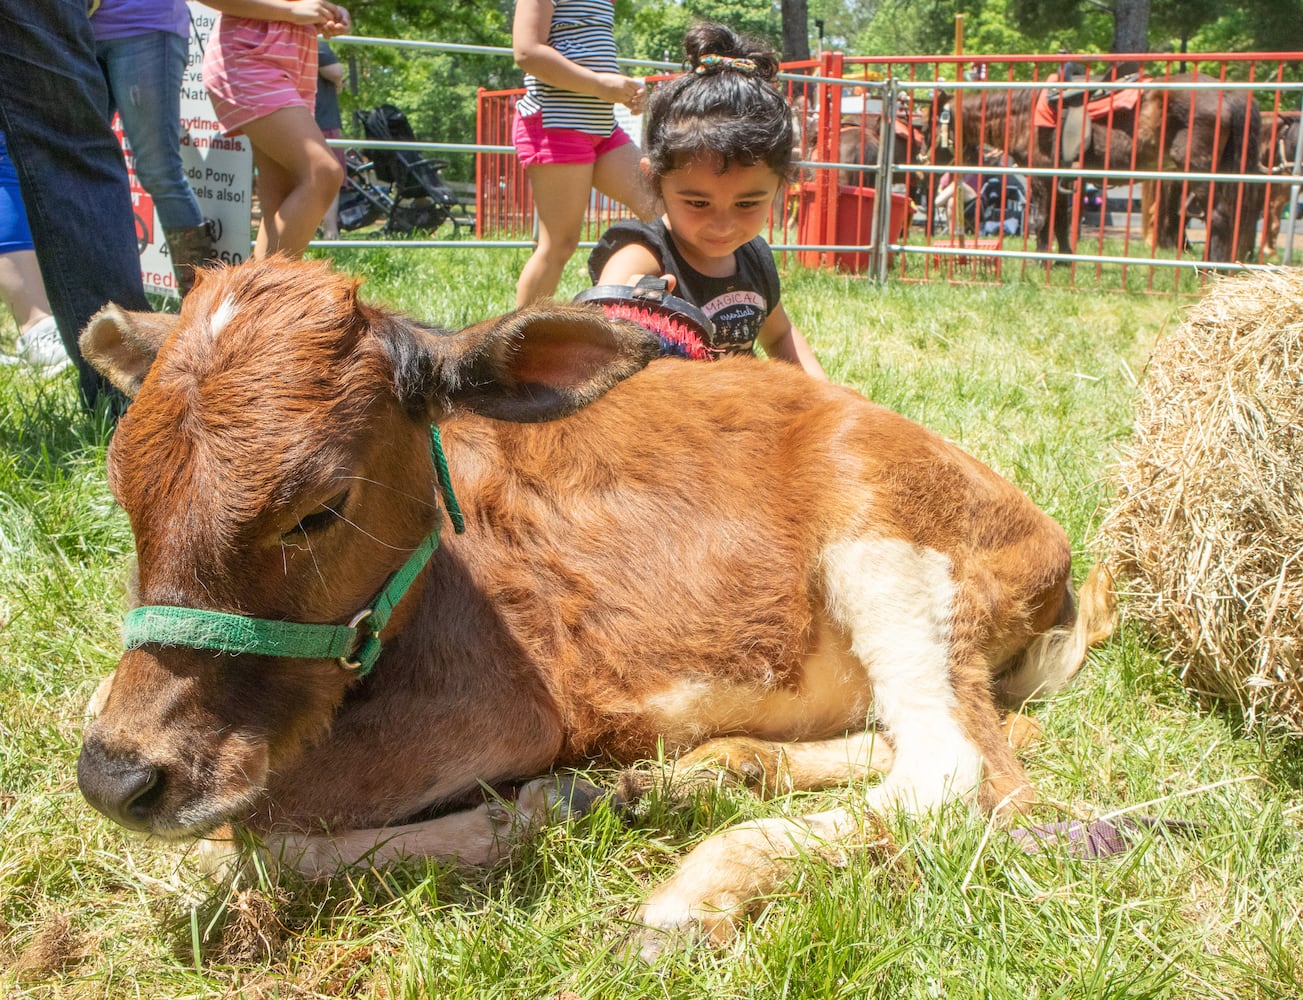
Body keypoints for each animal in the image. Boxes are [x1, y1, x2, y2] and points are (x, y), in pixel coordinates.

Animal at [932, 73, 1256, 262]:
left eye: (928, 122)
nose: (927, 159)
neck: (1024, 116)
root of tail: (1230, 94)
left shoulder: (1042, 176)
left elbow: (1042, 219)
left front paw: (1040, 258)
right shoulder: (1060, 177)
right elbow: (1060, 219)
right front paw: (1063, 257)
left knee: (1220, 218)